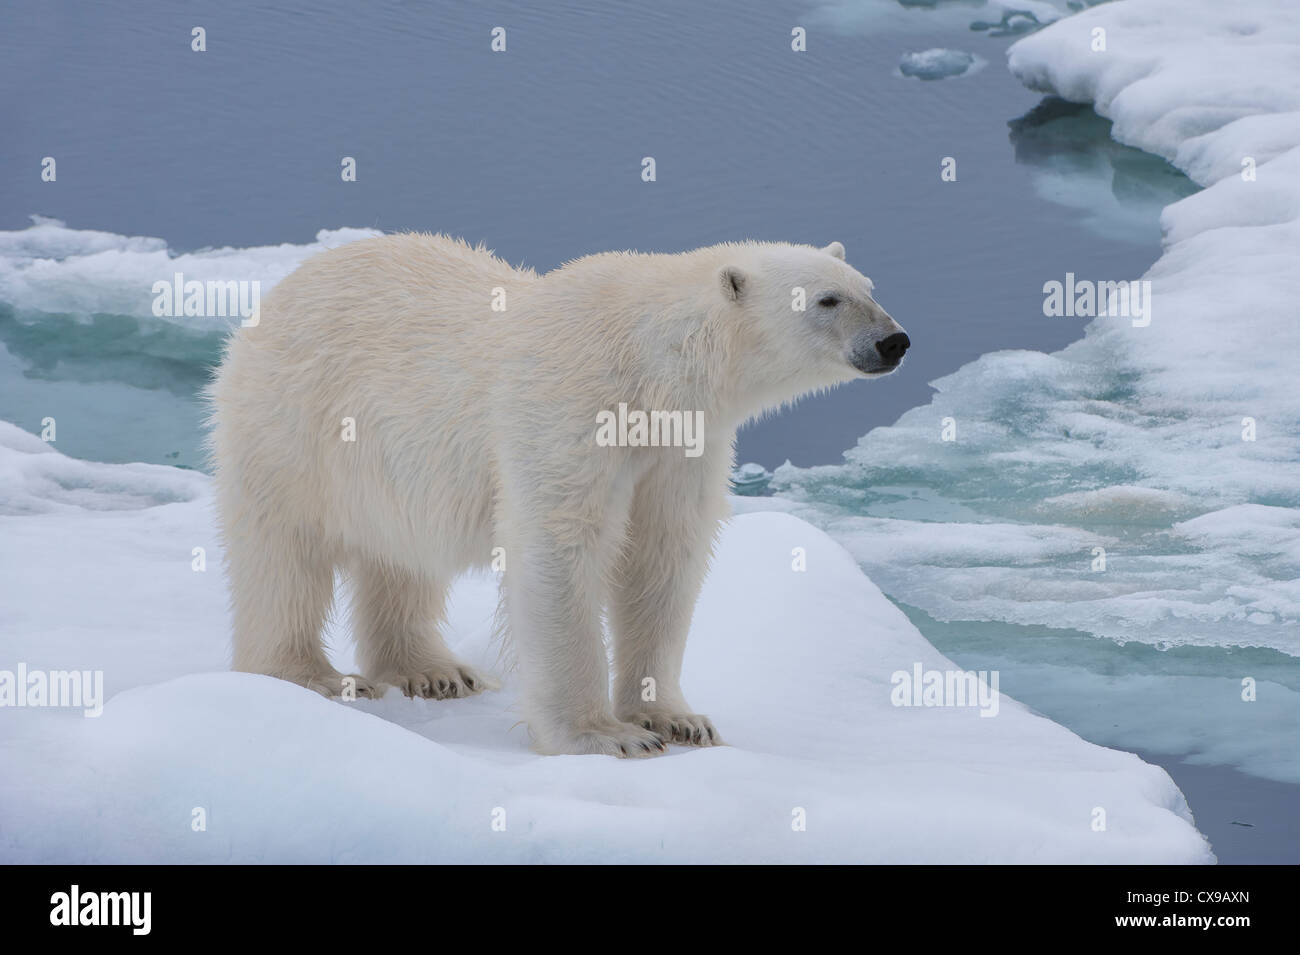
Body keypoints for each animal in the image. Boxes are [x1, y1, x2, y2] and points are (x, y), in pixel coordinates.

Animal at [208, 235, 909, 758]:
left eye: (870, 287)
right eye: (827, 299)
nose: (894, 341)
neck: (651, 365)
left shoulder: (681, 445)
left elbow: (663, 557)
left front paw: (678, 719)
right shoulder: (571, 407)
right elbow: (562, 549)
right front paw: (604, 736)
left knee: (402, 554)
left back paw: (435, 672)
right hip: (294, 422)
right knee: (283, 550)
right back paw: (312, 676)